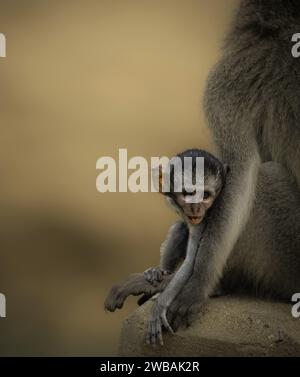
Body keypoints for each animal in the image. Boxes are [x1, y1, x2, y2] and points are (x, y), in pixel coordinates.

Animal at [145, 148, 227, 344]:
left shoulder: (203, 220)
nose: (196, 208)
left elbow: (190, 263)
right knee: (180, 228)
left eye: (205, 196)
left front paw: (160, 305)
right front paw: (158, 272)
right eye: (188, 194)